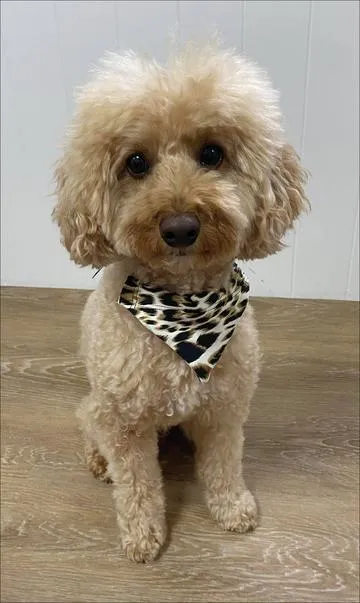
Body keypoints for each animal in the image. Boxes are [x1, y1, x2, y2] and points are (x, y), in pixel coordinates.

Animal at [52, 46, 308, 560]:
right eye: (135, 162)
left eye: (212, 153)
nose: (180, 228)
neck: (183, 306)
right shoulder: (126, 423)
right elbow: (137, 485)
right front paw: (142, 536)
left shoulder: (224, 409)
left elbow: (224, 464)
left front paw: (233, 507)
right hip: (98, 407)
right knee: (89, 425)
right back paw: (98, 461)